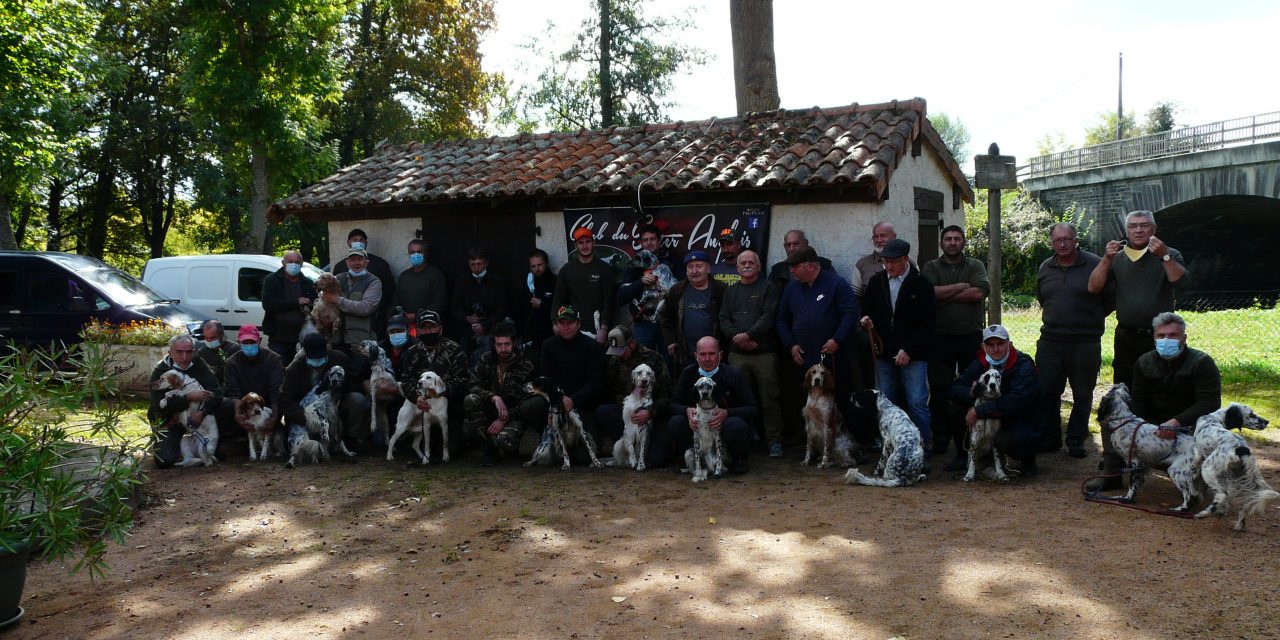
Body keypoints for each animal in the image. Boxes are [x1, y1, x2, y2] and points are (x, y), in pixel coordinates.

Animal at [1095, 381, 1203, 512]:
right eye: (1121, 387)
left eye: (1113, 388)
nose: (1122, 382)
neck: (1123, 420)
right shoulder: (1139, 465)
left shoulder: (1134, 462)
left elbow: (1132, 484)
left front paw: (1127, 498)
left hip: (1176, 471)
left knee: (1189, 494)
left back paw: (1179, 509)